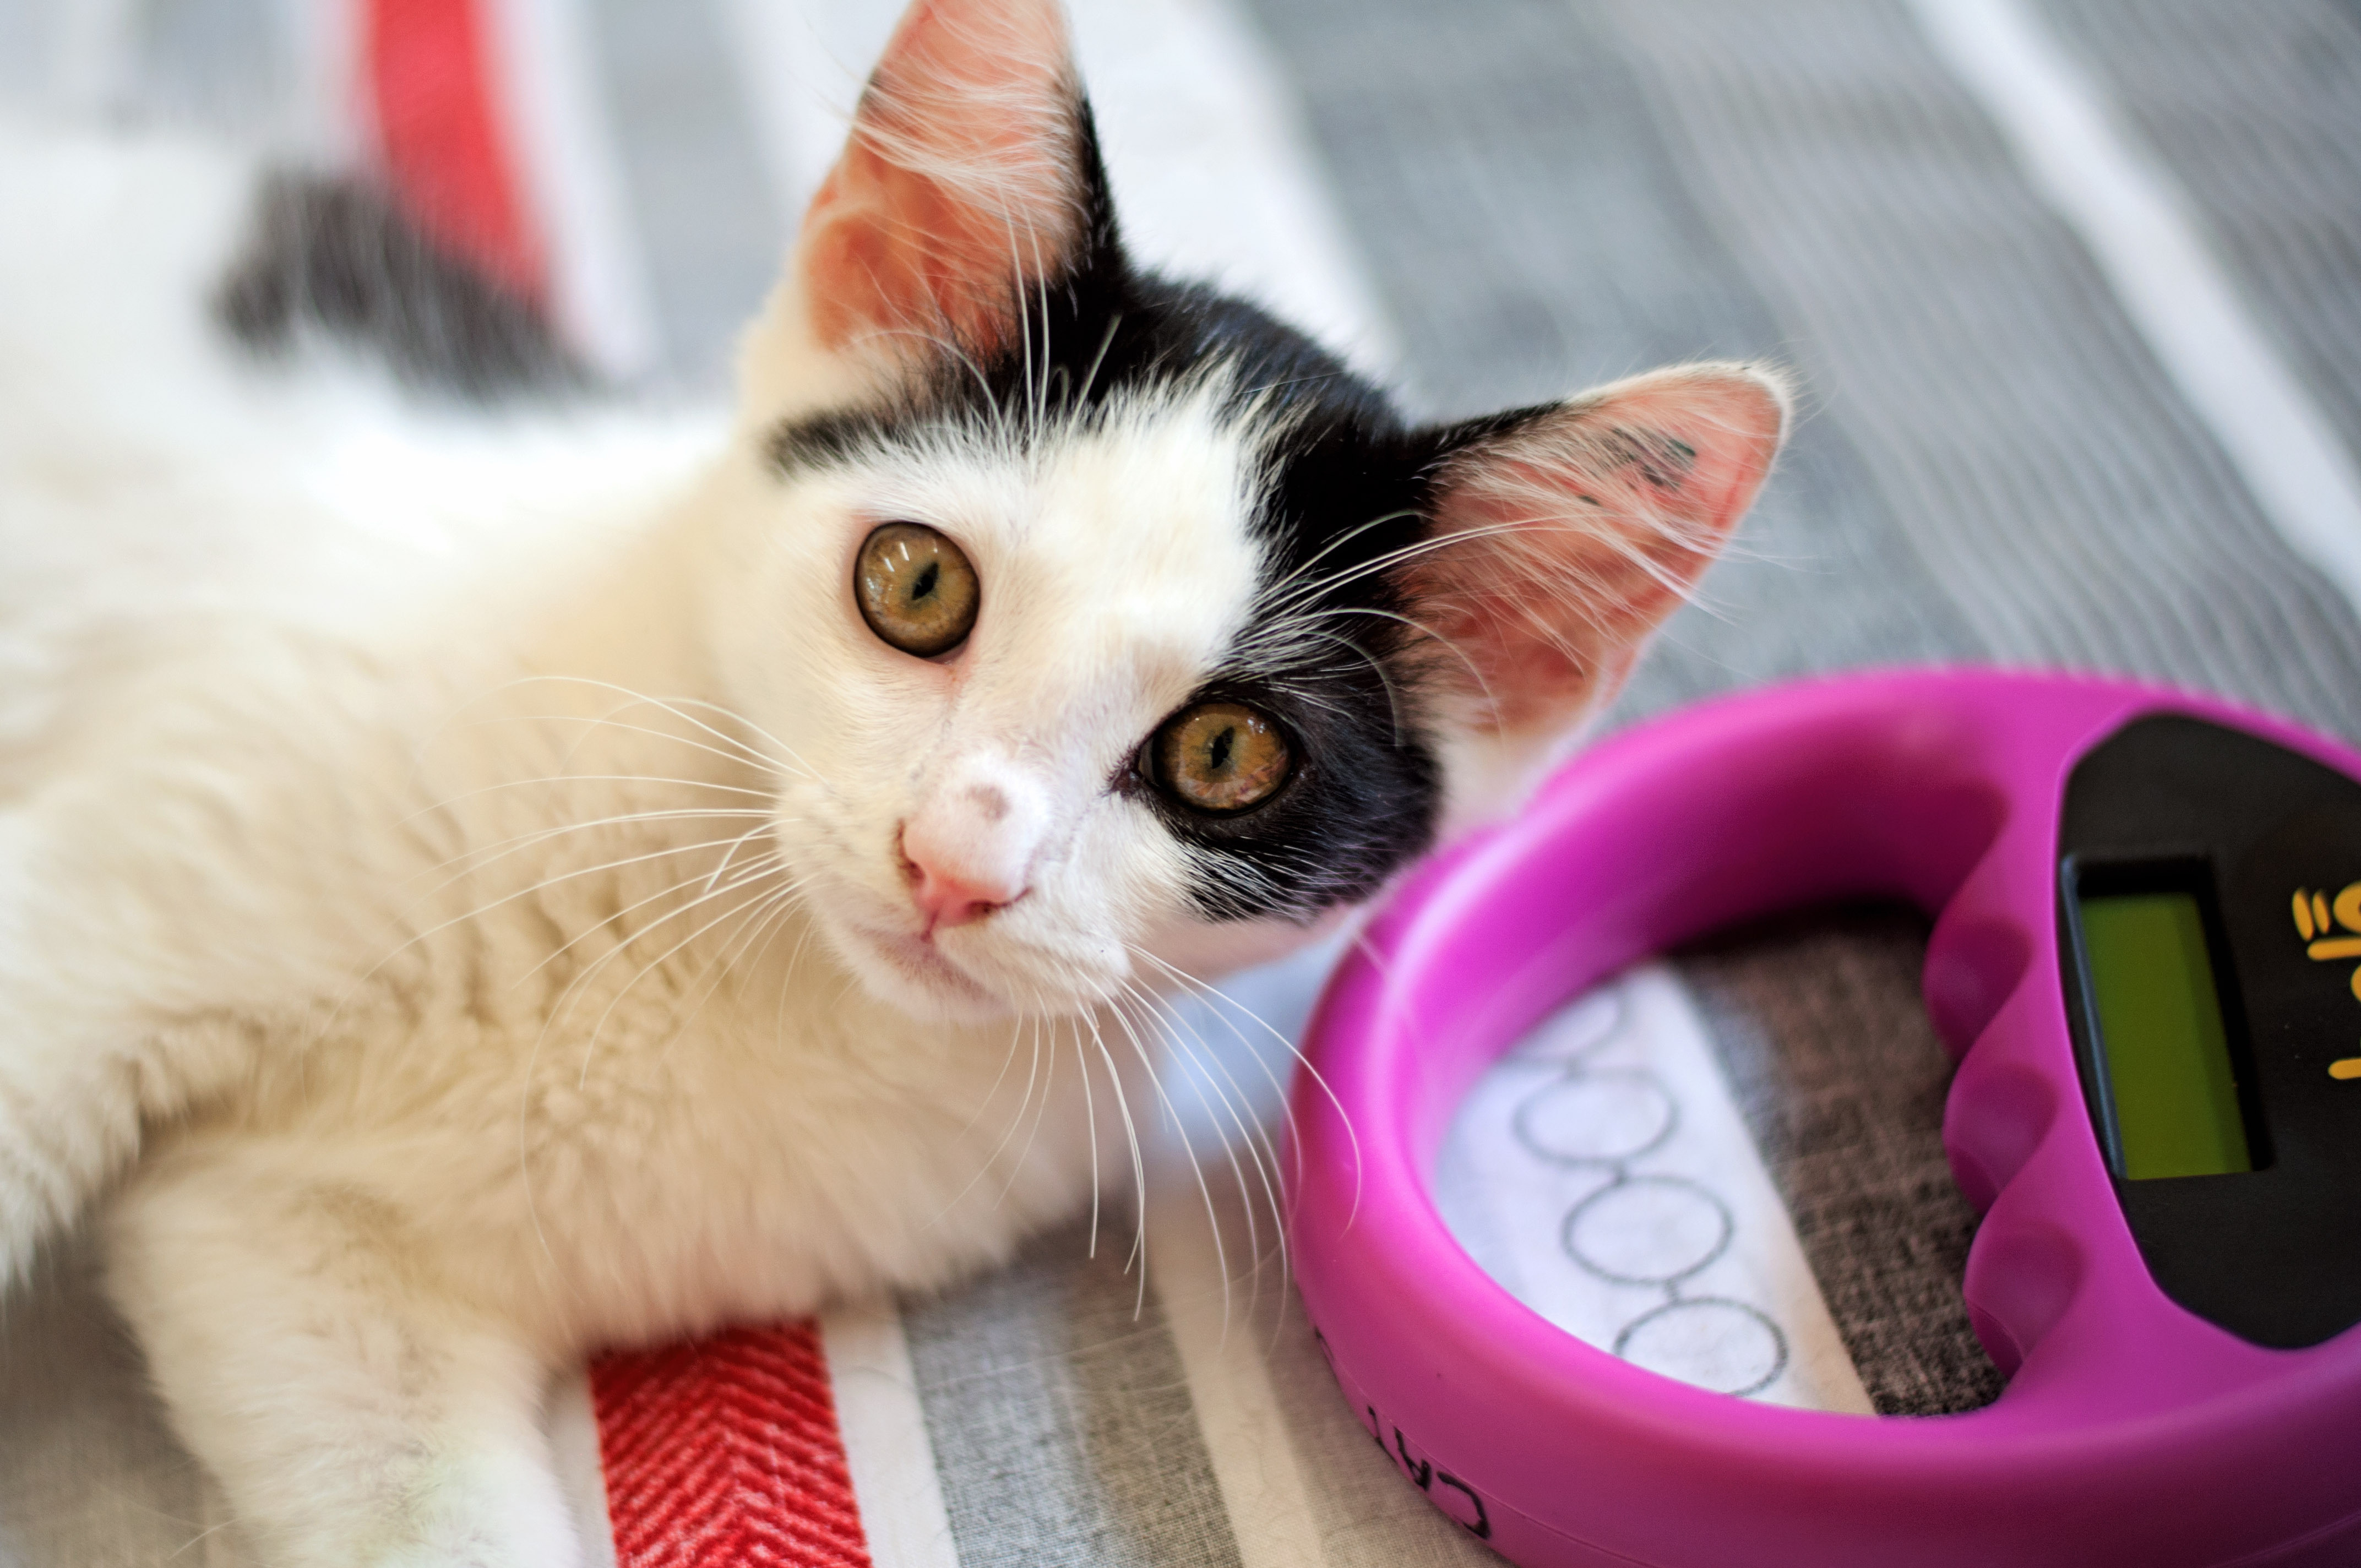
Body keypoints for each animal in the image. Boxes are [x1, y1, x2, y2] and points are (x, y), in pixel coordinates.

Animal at [0, 0, 1787, 1561]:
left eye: (1224, 755)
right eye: (916, 582)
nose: (957, 859)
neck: (733, 958)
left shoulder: (307, 1251)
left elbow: (391, 1463)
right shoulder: (124, 878)